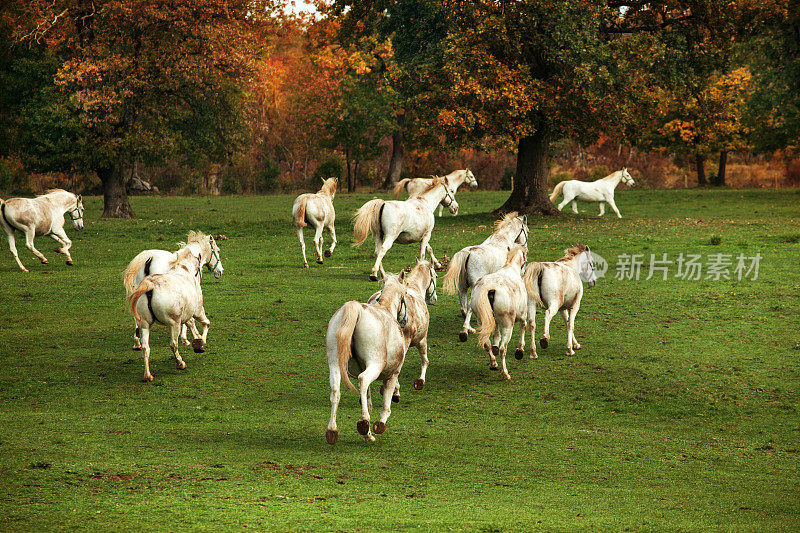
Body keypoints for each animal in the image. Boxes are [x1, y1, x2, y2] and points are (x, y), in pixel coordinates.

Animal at [126, 247, 211, 380]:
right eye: (199, 268)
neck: (184, 271)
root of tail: (151, 285)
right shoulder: (197, 311)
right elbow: (206, 323)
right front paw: (200, 342)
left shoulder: (186, 315)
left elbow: (190, 324)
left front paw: (196, 341)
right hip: (174, 324)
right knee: (173, 344)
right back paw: (180, 363)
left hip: (145, 325)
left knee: (145, 348)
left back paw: (148, 375)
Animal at [326, 272, 412, 442]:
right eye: (405, 293)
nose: (405, 321)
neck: (385, 309)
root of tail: (357, 309)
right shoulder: (393, 375)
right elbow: (386, 406)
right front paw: (379, 425)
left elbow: (367, 400)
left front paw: (369, 433)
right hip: (375, 364)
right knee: (363, 379)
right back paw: (364, 424)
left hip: (334, 364)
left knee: (336, 391)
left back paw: (333, 430)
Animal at [468, 247, 532, 380]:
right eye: (525, 260)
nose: (524, 272)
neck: (510, 268)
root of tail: (489, 288)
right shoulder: (522, 315)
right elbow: (523, 328)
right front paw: (520, 350)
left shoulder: (495, 322)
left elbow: (496, 336)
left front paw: (495, 347)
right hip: (508, 325)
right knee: (503, 349)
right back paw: (505, 373)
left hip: (483, 321)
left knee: (487, 344)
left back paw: (493, 363)